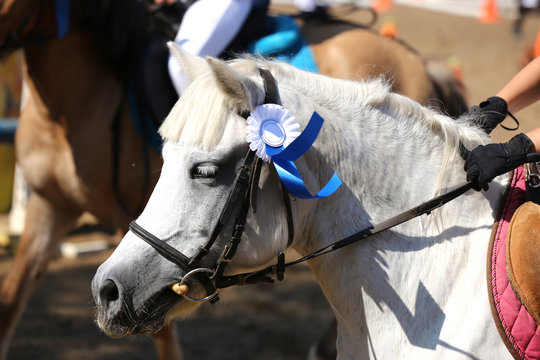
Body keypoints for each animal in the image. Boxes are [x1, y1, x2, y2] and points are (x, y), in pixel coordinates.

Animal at [0, 0, 466, 360]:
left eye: (206, 171)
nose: (106, 291)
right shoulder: (50, 206)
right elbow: (10, 300)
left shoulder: (126, 227)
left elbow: (164, 336)